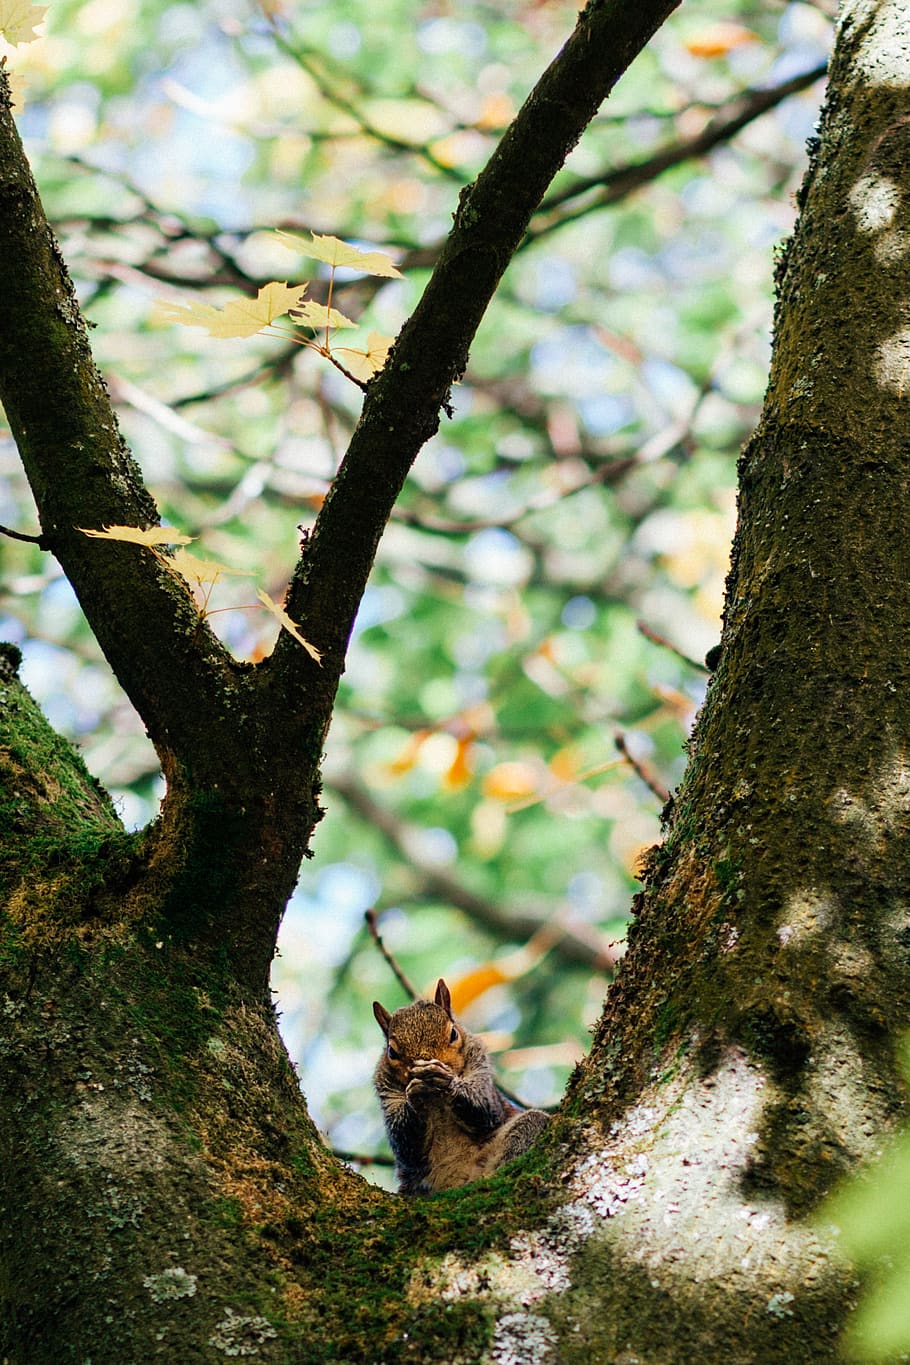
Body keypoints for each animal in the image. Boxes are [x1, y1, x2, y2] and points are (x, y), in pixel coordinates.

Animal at [372, 978, 549, 1195]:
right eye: (391, 1051)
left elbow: (486, 1110)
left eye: (453, 1034)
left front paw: (445, 1080)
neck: (436, 1101)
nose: (425, 1062)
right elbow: (405, 1146)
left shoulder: (480, 1070)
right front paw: (416, 1096)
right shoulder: (387, 1097)